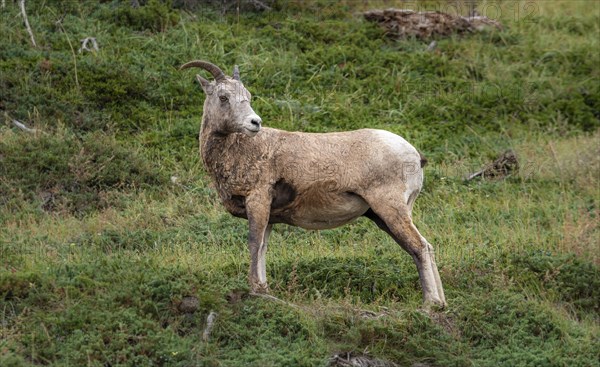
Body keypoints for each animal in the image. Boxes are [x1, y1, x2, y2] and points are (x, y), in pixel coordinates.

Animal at [180, 61, 448, 310]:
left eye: (247, 96)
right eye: (224, 97)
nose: (254, 122)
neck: (240, 152)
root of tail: (415, 155)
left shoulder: (257, 202)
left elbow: (254, 243)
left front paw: (256, 289)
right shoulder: (268, 215)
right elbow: (264, 246)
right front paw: (264, 288)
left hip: (391, 209)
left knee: (420, 247)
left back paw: (430, 304)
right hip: (384, 216)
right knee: (425, 247)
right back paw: (441, 303)